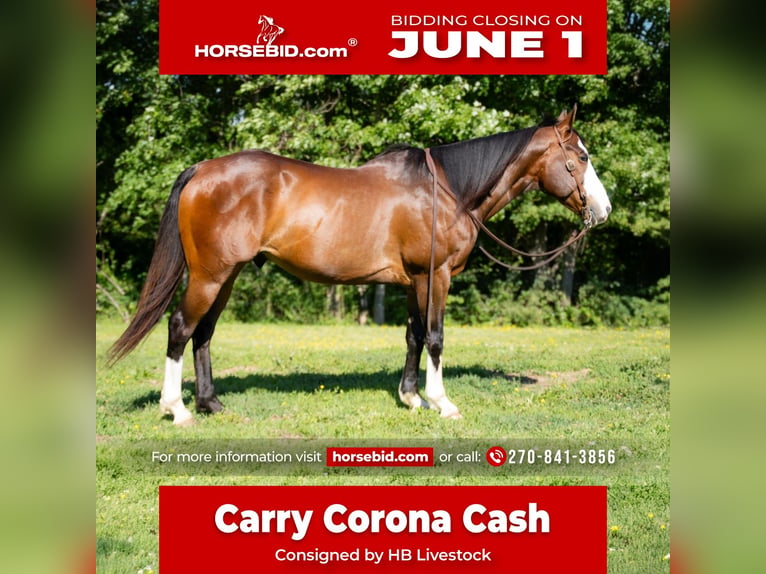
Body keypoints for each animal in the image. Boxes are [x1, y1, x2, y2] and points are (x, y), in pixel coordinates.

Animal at [108, 106, 611, 425]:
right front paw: (442, 402)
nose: (604, 210)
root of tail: (202, 169)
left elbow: (413, 336)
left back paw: (211, 405)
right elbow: (435, 337)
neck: (446, 190)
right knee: (180, 327)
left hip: (225, 276)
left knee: (204, 333)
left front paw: (411, 399)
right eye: (581, 156)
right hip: (209, 276)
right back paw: (177, 410)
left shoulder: (413, 280)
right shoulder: (436, 276)